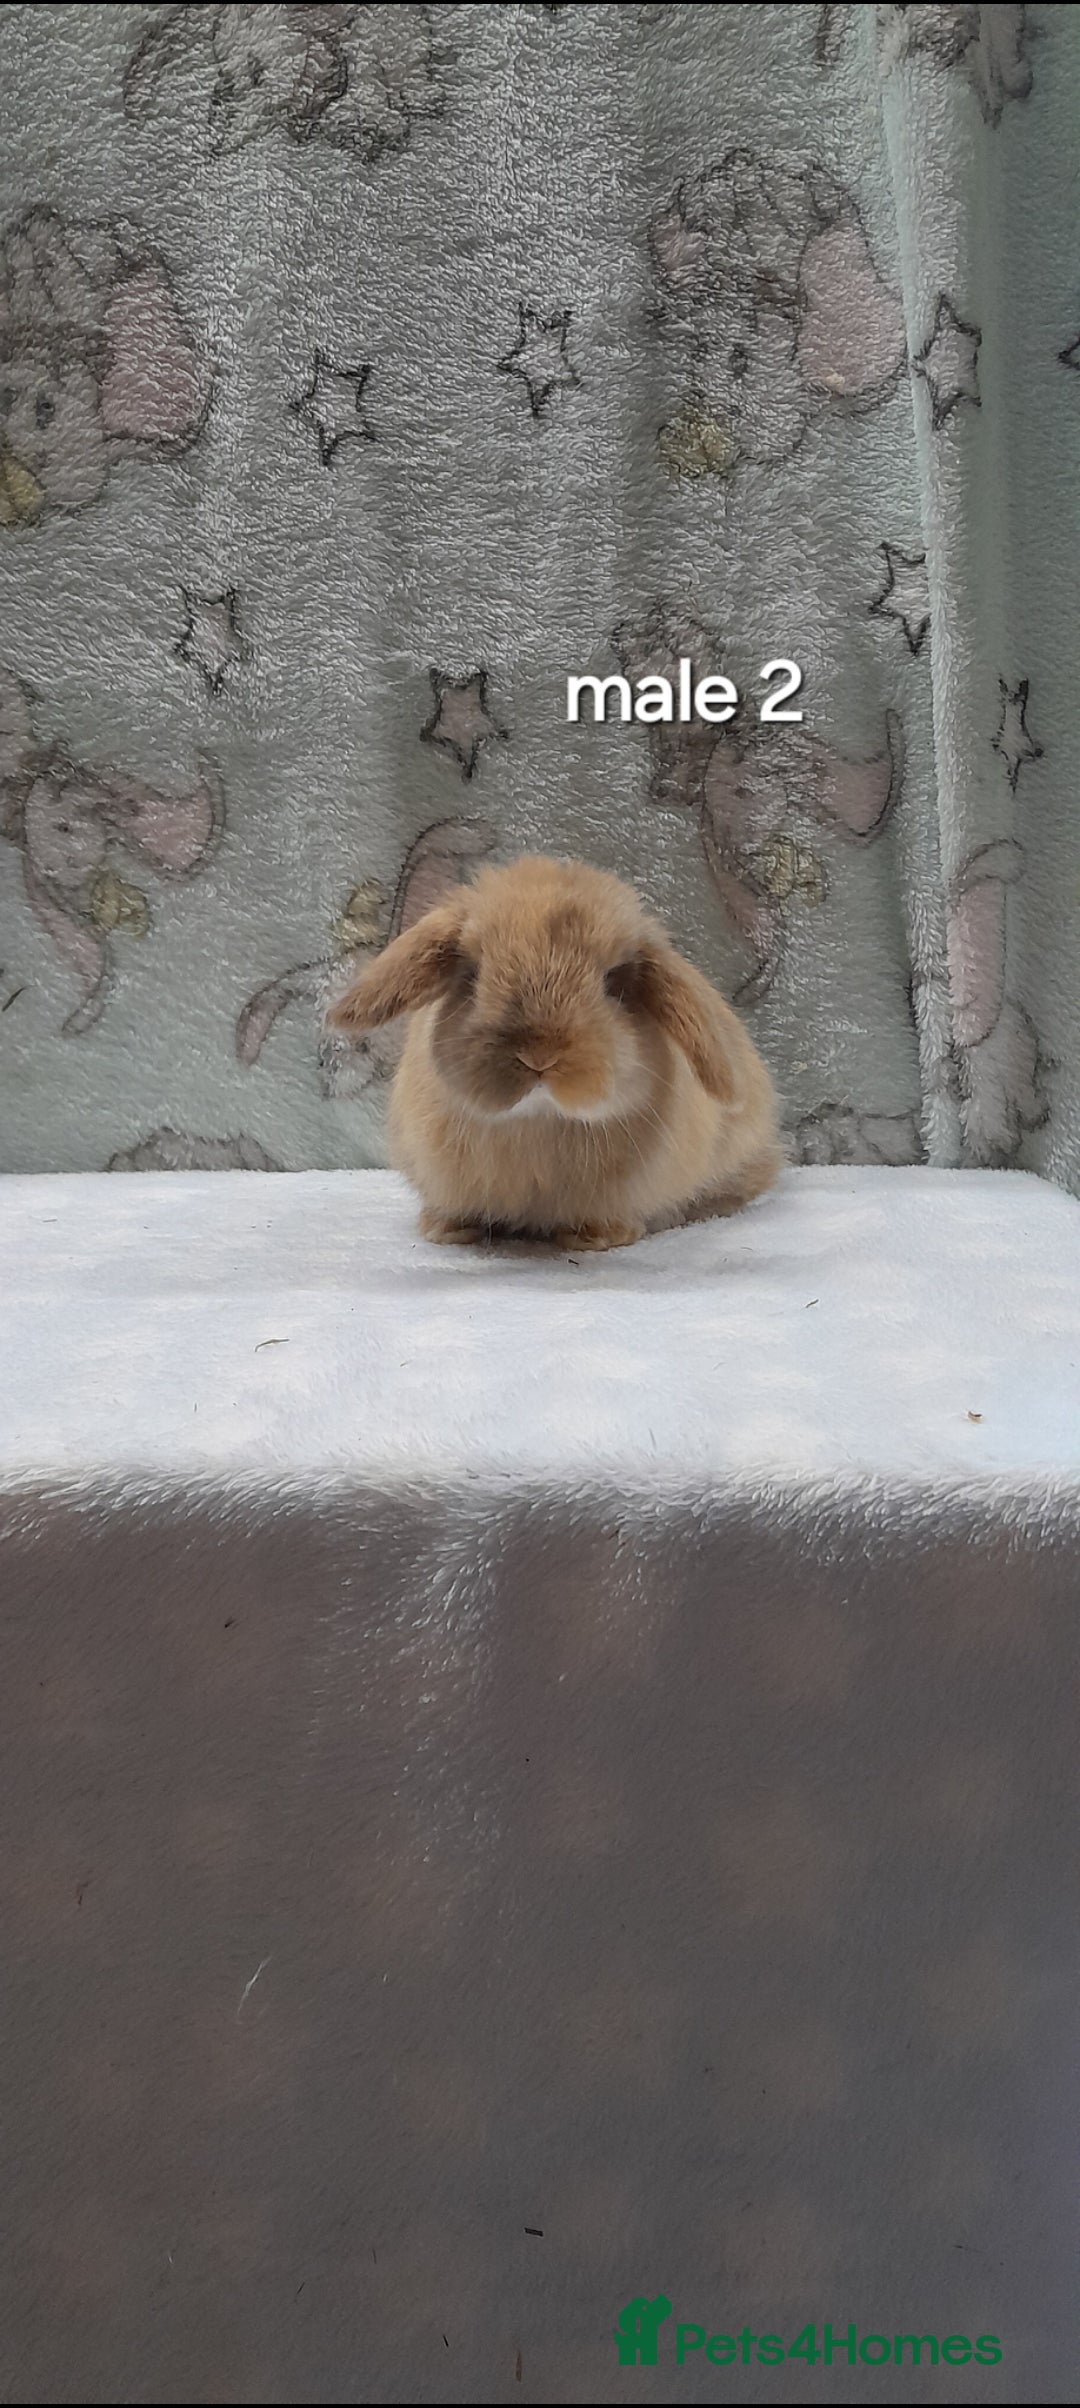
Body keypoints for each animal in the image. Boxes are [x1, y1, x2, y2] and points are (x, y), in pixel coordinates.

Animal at [326, 853, 783, 1250]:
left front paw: (597, 1238)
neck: (539, 1121)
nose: (540, 1056)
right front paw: (446, 1230)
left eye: (614, 982)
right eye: (471, 974)